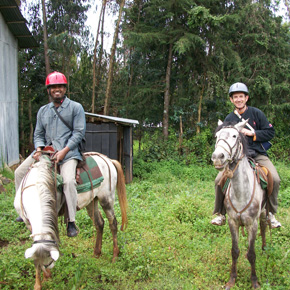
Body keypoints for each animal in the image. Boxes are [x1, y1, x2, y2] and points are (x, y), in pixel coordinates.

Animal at [13, 153, 127, 288]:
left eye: (49, 262)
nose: (48, 272)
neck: (37, 187)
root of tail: (107, 159)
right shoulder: (29, 223)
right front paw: (40, 283)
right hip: (92, 201)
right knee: (99, 223)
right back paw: (96, 253)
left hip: (106, 199)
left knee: (112, 223)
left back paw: (115, 256)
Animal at [211, 120, 268, 290]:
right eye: (217, 136)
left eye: (235, 136)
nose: (217, 157)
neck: (241, 191)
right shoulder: (233, 222)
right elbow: (235, 251)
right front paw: (232, 279)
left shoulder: (252, 224)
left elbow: (251, 254)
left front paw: (254, 281)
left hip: (264, 212)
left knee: (264, 225)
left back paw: (265, 249)